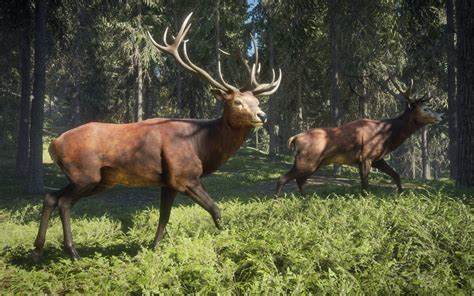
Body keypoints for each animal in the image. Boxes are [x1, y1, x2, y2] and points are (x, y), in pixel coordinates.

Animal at [32, 12, 282, 260]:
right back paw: (72, 252)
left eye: (257, 101)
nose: (263, 115)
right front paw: (229, 243)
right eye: (237, 102)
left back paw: (38, 249)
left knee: (51, 197)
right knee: (63, 202)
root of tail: (53, 144)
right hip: (86, 174)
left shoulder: (168, 183)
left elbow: (164, 217)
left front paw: (152, 249)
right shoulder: (185, 176)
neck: (201, 145)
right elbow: (215, 209)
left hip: (97, 179)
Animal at [276, 77, 442, 195]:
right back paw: (277, 200)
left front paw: (401, 193)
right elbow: (365, 185)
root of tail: (294, 139)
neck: (388, 136)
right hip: (307, 161)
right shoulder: (366, 157)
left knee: (299, 180)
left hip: (311, 163)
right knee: (283, 178)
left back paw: (304, 198)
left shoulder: (377, 158)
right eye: (425, 108)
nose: (440, 116)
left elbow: (395, 175)